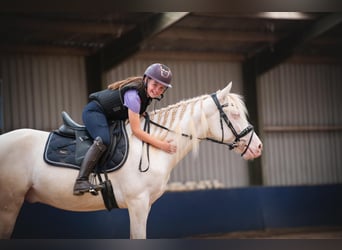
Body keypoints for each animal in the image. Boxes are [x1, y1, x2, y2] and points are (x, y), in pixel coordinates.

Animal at [0, 82, 264, 238]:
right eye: (235, 114)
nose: (258, 147)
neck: (152, 146)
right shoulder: (138, 204)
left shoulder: (144, 205)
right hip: (8, 206)